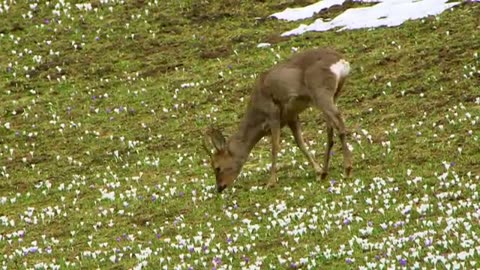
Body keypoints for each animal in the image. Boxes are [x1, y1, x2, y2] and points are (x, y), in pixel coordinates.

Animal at [202, 47, 352, 193]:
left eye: (217, 167)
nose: (219, 188)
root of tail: (341, 60)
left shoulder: (272, 113)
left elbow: (275, 147)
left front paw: (271, 182)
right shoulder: (291, 116)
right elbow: (300, 143)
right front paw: (317, 170)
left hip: (320, 91)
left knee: (339, 122)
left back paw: (347, 170)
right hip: (332, 94)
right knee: (330, 130)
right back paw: (325, 172)